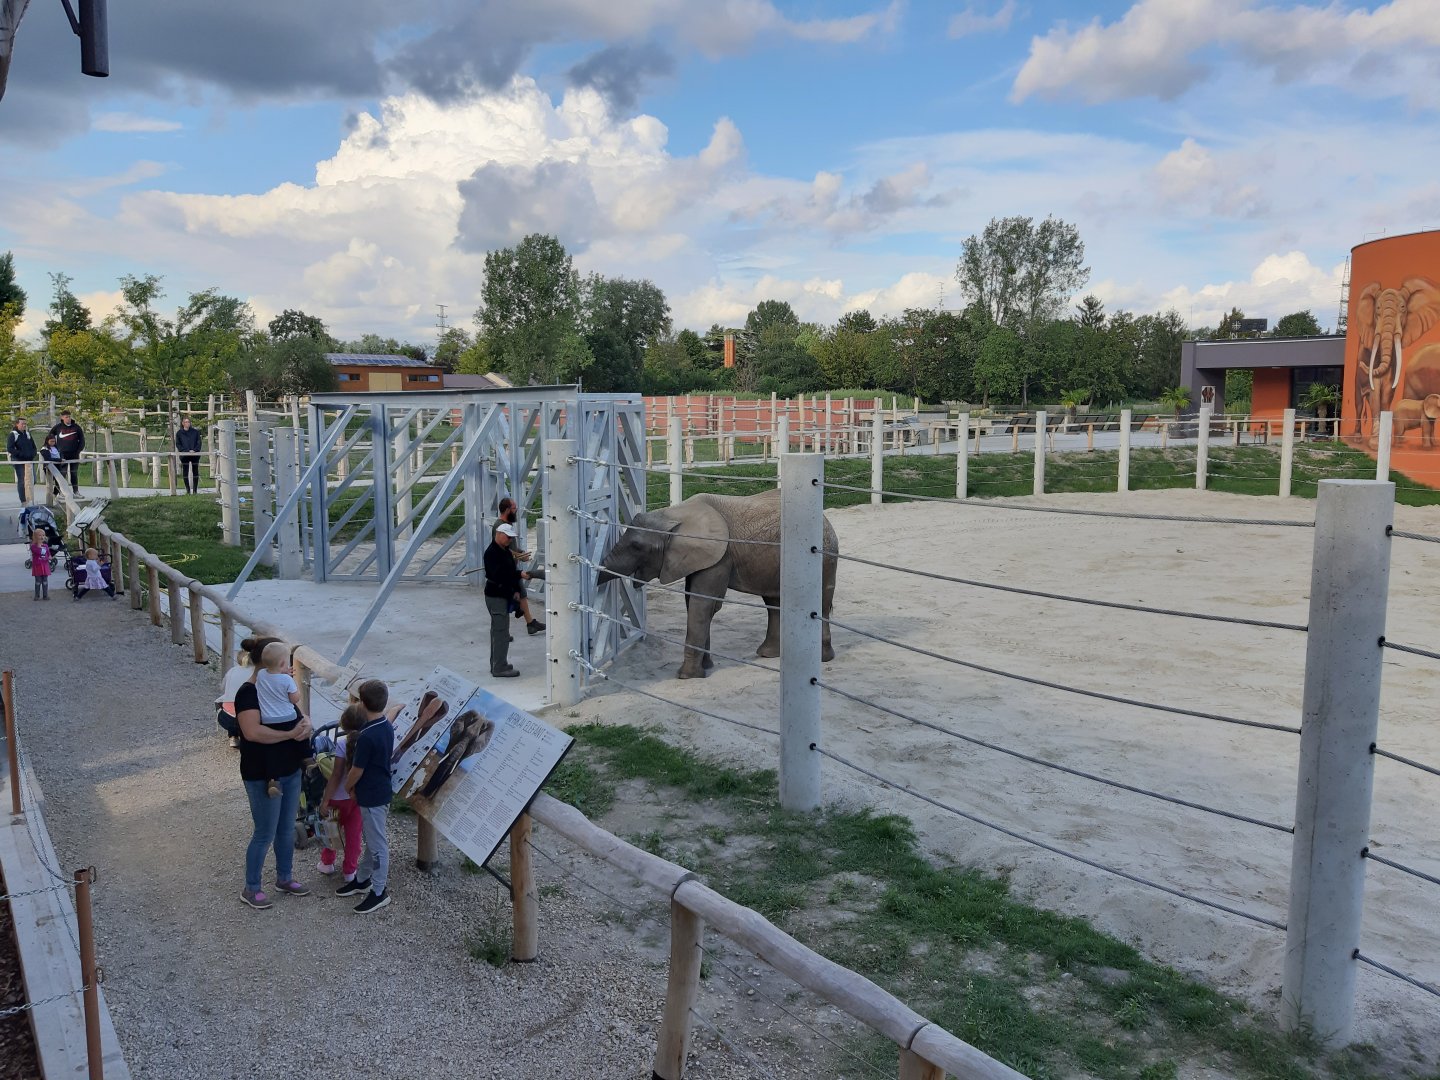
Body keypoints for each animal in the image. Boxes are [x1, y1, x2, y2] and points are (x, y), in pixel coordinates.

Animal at [598, 488, 838, 680]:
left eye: (637, 546)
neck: (674, 514)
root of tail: (827, 521)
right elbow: (694, 602)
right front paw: (706, 667)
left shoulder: (720, 556)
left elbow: (703, 605)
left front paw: (687, 677)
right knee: (774, 603)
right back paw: (768, 654)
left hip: (824, 558)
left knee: (820, 604)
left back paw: (822, 659)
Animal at [1353, 277, 1440, 446]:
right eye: (1377, 309)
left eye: (1403, 308)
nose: (1362, 365)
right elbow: (1375, 393)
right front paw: (1375, 443)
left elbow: (1387, 392)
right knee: (1359, 403)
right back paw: (1358, 438)